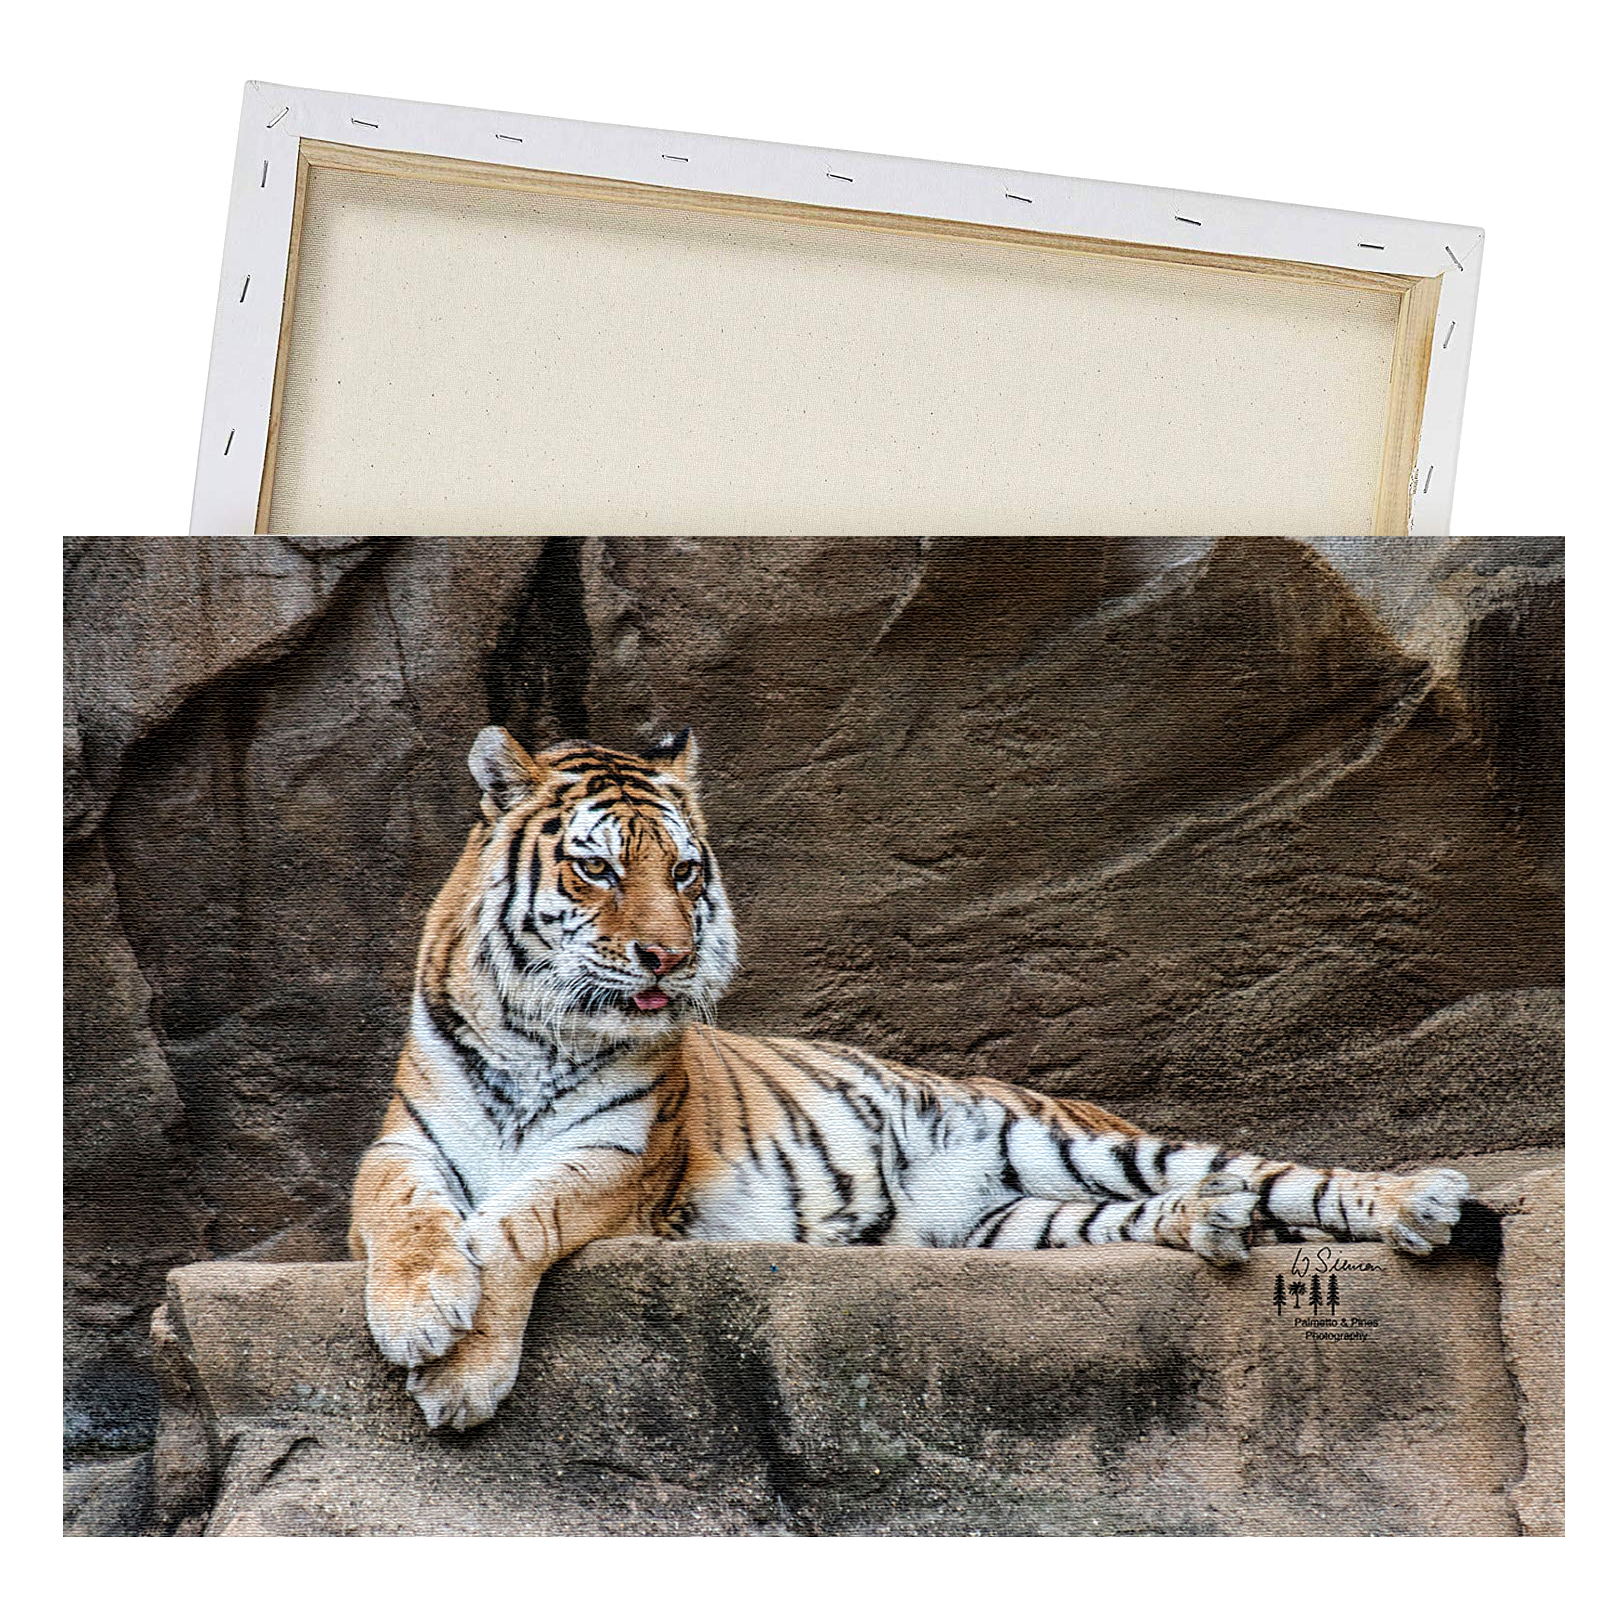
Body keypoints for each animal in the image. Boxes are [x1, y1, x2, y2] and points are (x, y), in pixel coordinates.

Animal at [349, 726, 1472, 1431]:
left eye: (682, 872)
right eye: (594, 869)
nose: (670, 957)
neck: (535, 1035)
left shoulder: (618, 1160)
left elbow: (516, 1223)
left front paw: (457, 1372)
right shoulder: (404, 1140)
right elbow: (406, 1210)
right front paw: (419, 1310)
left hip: (1075, 1139)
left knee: (1283, 1174)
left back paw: (1417, 1202)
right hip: (1015, 1228)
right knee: (1177, 1209)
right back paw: (1214, 1223)